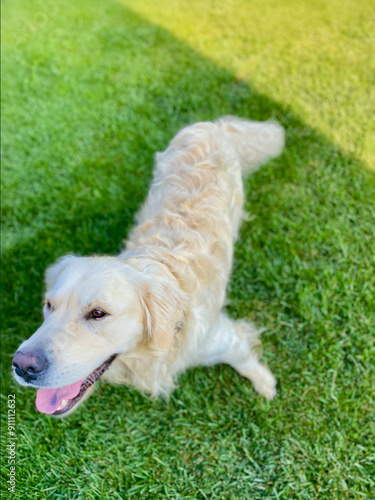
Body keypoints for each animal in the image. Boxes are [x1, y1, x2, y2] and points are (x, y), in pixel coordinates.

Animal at [12, 115, 284, 416]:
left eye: (98, 313)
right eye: (49, 305)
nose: (22, 366)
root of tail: (209, 124)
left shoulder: (222, 338)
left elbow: (245, 361)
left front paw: (265, 384)